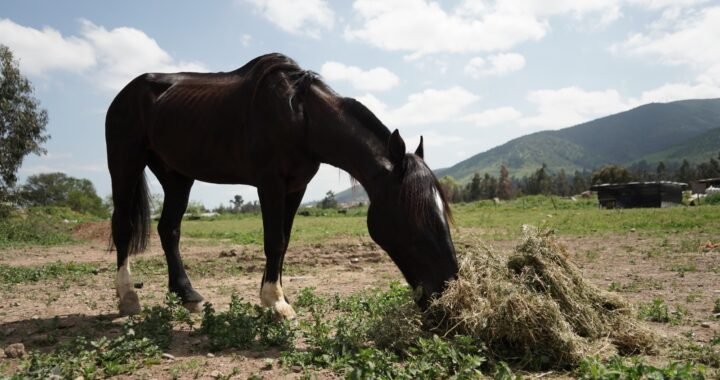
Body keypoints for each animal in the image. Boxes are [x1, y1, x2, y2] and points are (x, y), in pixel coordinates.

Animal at [105, 52, 456, 316]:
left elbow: (284, 242)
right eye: (416, 221)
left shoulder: (296, 187)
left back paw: (187, 294)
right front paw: (276, 303)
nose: (447, 293)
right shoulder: (270, 183)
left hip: (176, 176)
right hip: (125, 165)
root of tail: (125, 93)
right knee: (123, 226)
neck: (299, 116)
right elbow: (273, 240)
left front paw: (275, 295)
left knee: (169, 230)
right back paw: (128, 299)